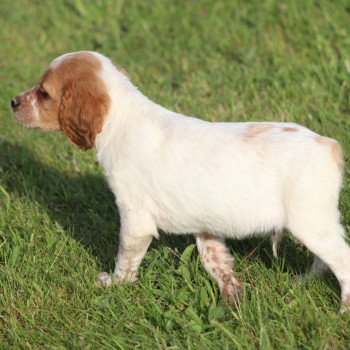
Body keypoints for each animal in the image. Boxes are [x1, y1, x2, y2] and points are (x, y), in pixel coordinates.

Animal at [10, 51, 350, 312]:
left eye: (43, 93)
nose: (12, 102)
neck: (123, 121)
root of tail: (328, 144)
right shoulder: (206, 226)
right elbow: (217, 261)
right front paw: (232, 299)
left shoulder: (135, 219)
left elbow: (125, 261)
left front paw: (114, 286)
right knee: (323, 261)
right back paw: (303, 282)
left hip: (310, 223)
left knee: (342, 261)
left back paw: (343, 311)